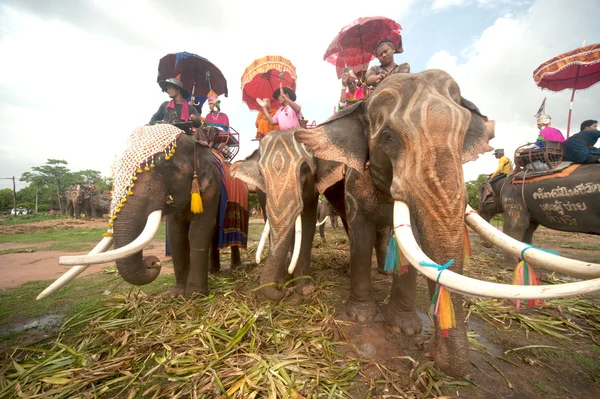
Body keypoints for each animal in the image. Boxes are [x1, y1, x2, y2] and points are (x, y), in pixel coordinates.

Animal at [292, 69, 494, 378]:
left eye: (462, 136)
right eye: (388, 137)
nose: (432, 354)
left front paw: (405, 329)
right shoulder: (355, 182)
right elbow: (360, 230)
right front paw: (361, 316)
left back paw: (384, 271)